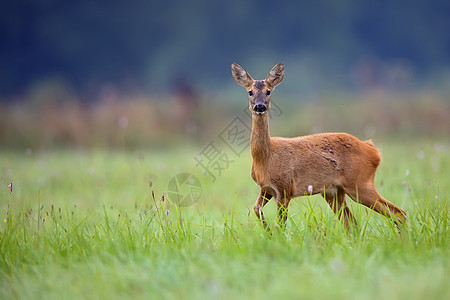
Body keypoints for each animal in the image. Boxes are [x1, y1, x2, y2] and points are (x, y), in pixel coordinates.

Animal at [232, 62, 408, 231]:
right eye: (250, 92)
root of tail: (373, 149)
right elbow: (256, 209)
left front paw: (274, 235)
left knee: (398, 213)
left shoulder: (285, 189)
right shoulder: (266, 188)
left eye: (268, 91)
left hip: (360, 183)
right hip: (334, 192)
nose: (260, 106)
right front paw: (267, 231)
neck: (266, 157)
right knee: (352, 223)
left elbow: (280, 225)